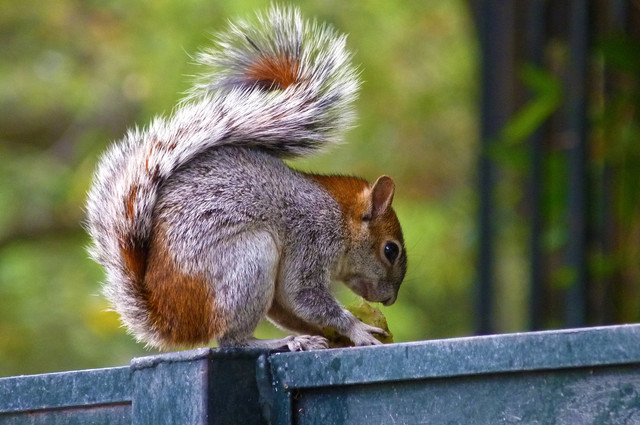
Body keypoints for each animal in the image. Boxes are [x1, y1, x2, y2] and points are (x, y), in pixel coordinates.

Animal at [86, 6, 406, 351]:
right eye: (390, 250)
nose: (390, 300)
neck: (341, 215)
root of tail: (173, 319)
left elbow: (290, 308)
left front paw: (330, 335)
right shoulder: (312, 239)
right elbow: (304, 295)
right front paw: (358, 330)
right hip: (249, 262)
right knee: (231, 340)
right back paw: (278, 342)